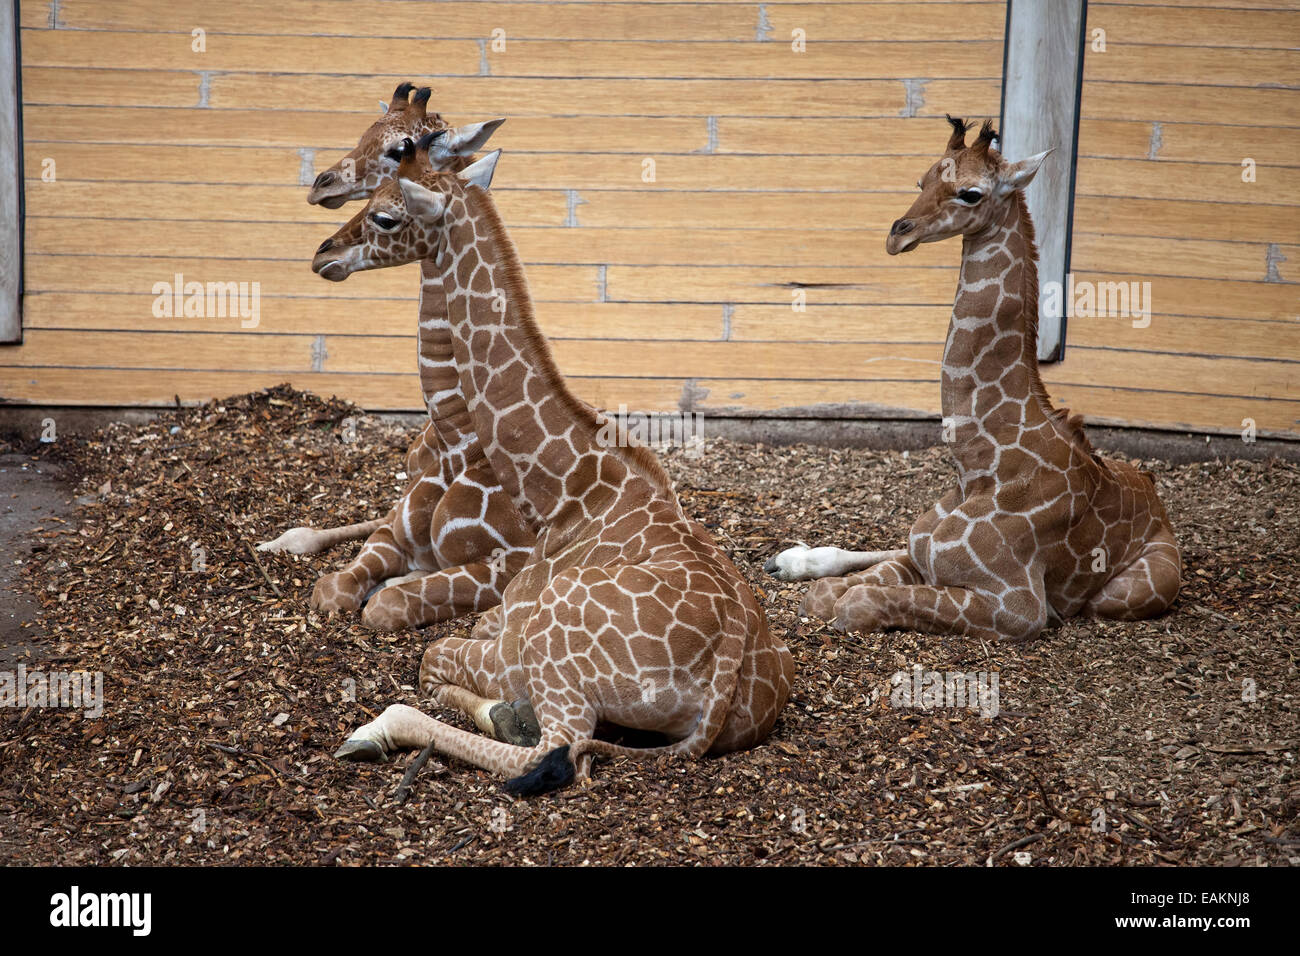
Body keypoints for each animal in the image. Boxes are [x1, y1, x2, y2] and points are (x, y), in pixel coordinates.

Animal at [258, 83, 533, 634]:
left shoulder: (511, 561)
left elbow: (387, 599)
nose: (320, 186)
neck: (457, 435)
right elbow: (341, 582)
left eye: (396, 150)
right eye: (364, 132)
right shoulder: (393, 526)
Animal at [310, 134, 790, 790]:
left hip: (553, 664)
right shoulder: (498, 618)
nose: (322, 253)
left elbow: (430, 656)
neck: (566, 492)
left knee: (550, 748)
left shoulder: (507, 637)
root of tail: (723, 679)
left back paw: (384, 730)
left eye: (385, 213)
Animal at [764, 117, 1185, 642]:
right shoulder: (923, 556)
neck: (976, 467)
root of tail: (1153, 489)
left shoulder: (1018, 607)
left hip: (1128, 592)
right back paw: (788, 559)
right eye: (921, 181)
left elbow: (855, 602)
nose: (897, 235)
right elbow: (828, 594)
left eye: (971, 193)